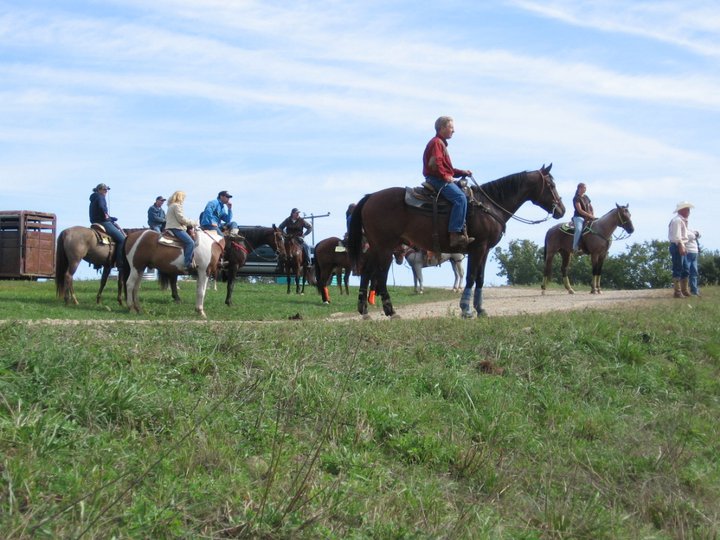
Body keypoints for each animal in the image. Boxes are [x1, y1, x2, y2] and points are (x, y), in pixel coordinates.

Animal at [346, 163, 564, 316]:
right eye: (551, 184)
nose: (561, 210)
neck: (489, 206)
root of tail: (371, 196)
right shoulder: (478, 247)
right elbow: (471, 277)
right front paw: (466, 310)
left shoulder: (485, 249)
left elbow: (480, 278)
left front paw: (480, 309)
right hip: (385, 247)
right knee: (380, 275)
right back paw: (391, 312)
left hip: (376, 246)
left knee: (367, 272)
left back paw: (364, 311)